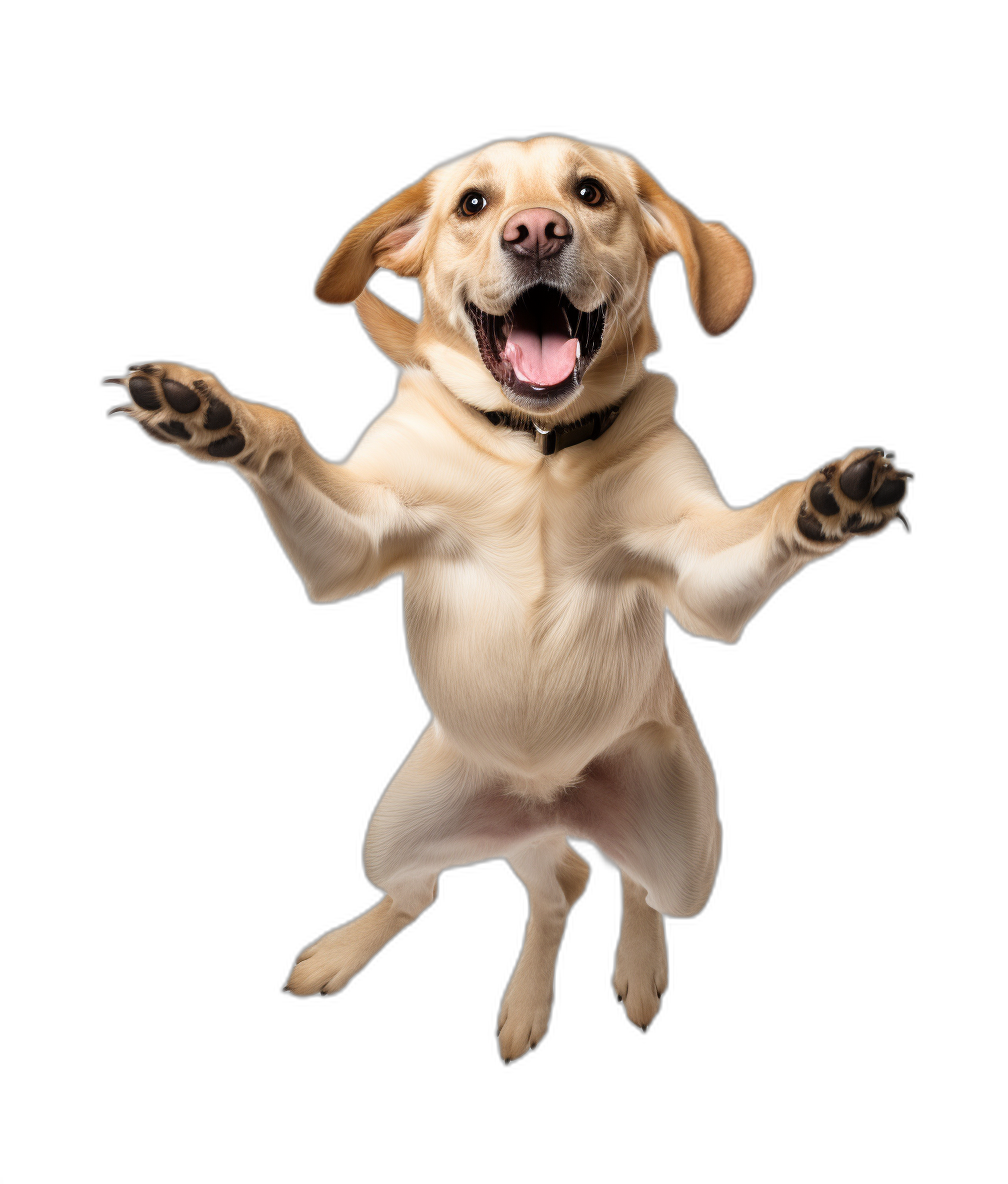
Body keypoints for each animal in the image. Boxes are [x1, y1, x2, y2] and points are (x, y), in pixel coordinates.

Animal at [104, 134, 914, 1060]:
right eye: (473, 204)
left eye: (591, 193)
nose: (535, 231)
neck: (537, 451)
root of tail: (546, 801)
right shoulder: (353, 545)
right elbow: (283, 436)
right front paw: (212, 411)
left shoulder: (703, 579)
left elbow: (765, 526)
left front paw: (831, 501)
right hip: (398, 831)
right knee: (505, 883)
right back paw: (383, 964)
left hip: (689, 852)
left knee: (629, 884)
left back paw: (634, 971)